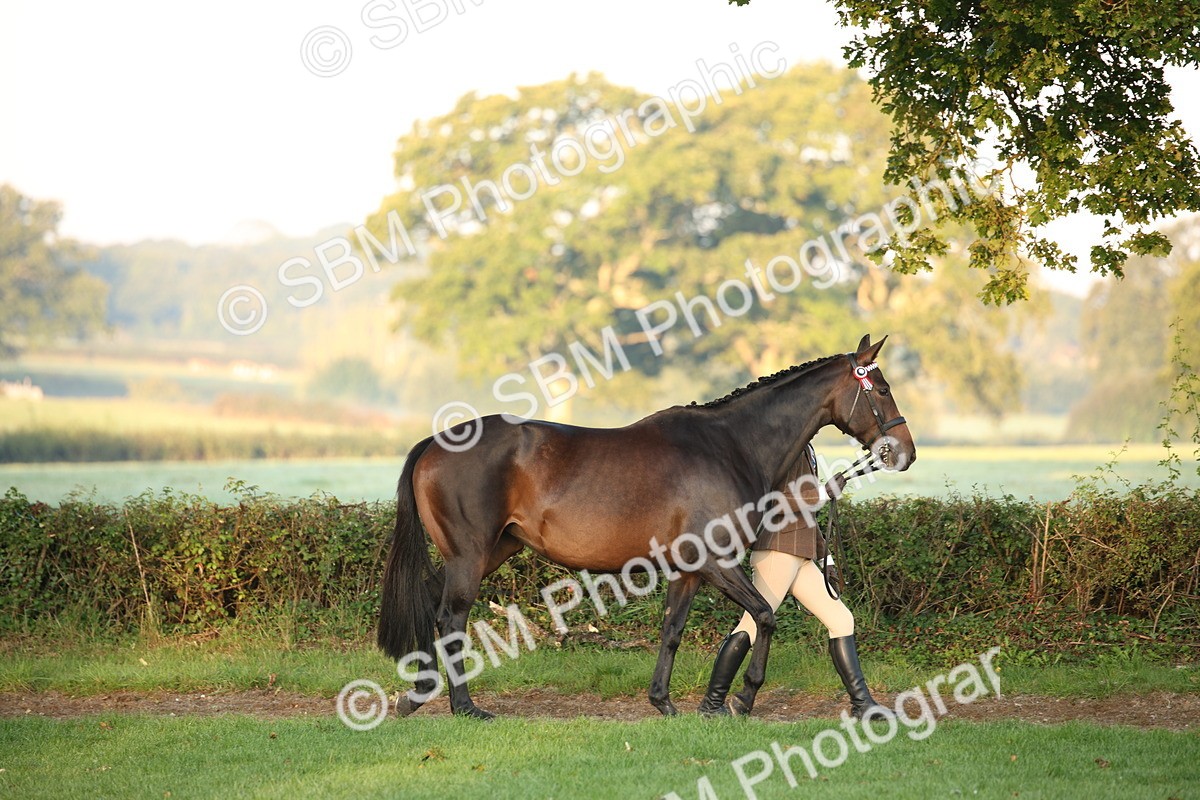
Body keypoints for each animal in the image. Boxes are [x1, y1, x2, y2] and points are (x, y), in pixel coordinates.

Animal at [377, 334, 915, 719]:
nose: (904, 453)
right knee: (451, 618)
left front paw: (665, 701)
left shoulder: (690, 569)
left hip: (492, 550)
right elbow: (765, 616)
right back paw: (465, 707)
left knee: (433, 601)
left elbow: (672, 628)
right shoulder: (718, 560)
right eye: (884, 389)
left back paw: (416, 695)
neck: (729, 444)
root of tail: (435, 442)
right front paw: (743, 698)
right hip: (470, 555)